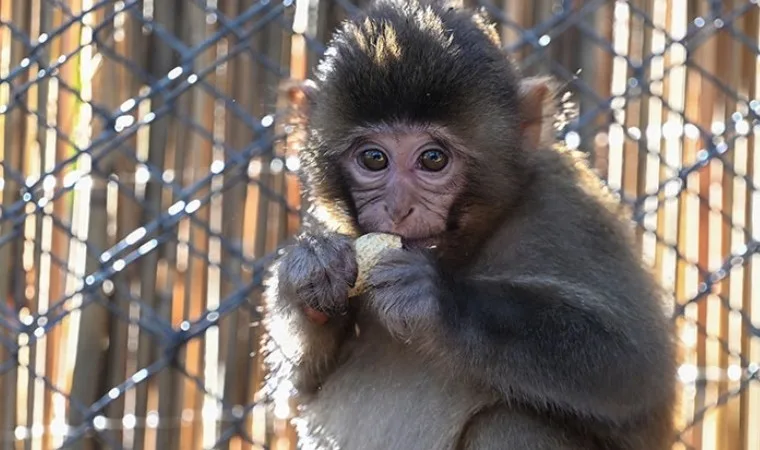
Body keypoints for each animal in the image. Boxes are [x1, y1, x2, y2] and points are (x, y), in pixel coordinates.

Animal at [266, 0, 676, 448]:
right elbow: (298, 392)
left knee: (510, 422)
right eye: (374, 159)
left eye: (433, 159)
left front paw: (437, 301)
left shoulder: (568, 209)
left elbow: (634, 367)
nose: (398, 207)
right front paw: (309, 271)